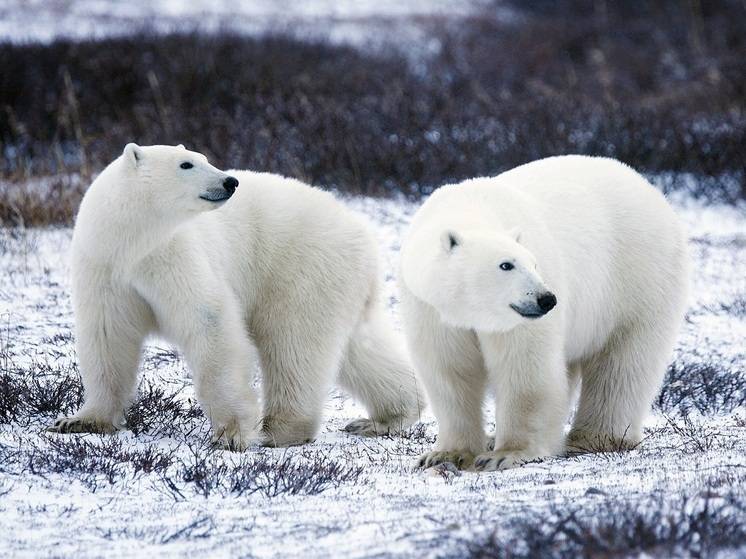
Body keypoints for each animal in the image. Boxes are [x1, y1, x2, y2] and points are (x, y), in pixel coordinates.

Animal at [49, 144, 422, 450]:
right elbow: (107, 337)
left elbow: (209, 321)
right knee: (359, 348)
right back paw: (387, 417)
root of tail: (363, 232)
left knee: (293, 343)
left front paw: (231, 434)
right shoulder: (104, 266)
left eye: (203, 157)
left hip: (302, 268)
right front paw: (79, 421)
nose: (230, 182)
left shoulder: (173, 255)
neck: (132, 242)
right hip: (339, 282)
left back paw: (279, 430)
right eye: (186, 163)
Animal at [402, 156, 684, 472]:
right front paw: (445, 455)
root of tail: (649, 188)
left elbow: (525, 368)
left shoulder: (519, 321)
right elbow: (449, 371)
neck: (471, 207)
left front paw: (505, 454)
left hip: (638, 277)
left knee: (622, 363)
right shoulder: (430, 308)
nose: (546, 299)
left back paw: (595, 438)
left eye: (534, 263)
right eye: (506, 264)